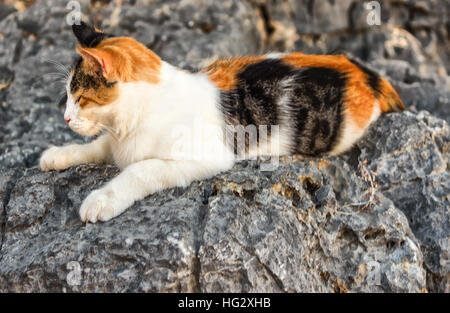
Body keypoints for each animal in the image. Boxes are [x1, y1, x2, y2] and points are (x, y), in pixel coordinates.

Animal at [38, 21, 404, 222]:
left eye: (80, 98)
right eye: (68, 96)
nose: (66, 117)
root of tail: (366, 74)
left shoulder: (208, 158)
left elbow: (140, 170)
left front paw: (101, 200)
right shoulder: (114, 140)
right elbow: (97, 145)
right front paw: (58, 154)